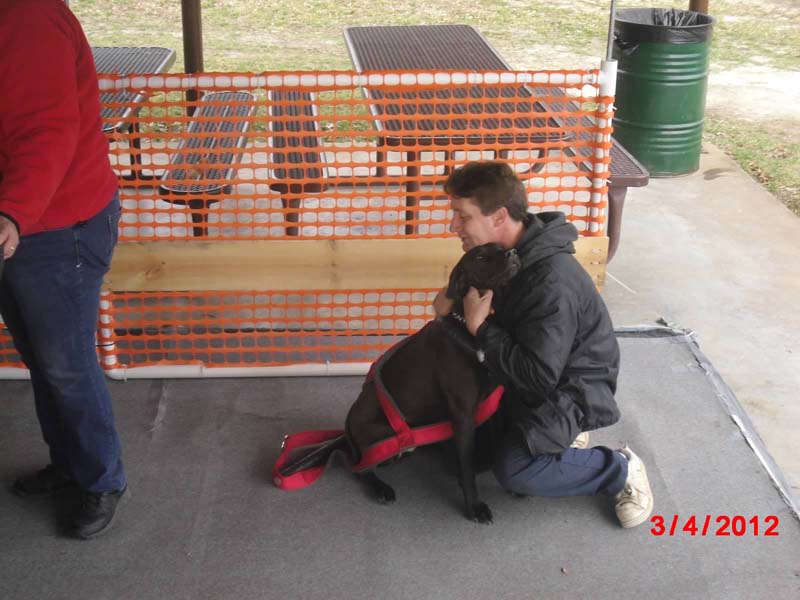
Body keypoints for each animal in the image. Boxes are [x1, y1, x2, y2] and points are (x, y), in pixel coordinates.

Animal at [278, 241, 520, 524]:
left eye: (503, 247)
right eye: (481, 257)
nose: (513, 253)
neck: (472, 327)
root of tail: (347, 430)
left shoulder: (488, 404)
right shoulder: (463, 414)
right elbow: (467, 464)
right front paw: (475, 505)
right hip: (383, 432)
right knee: (358, 466)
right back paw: (381, 487)